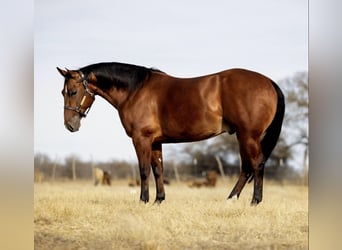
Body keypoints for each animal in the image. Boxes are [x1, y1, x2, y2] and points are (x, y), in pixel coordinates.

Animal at [57, 62, 284, 205]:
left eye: (73, 92)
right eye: (63, 92)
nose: (70, 125)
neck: (135, 91)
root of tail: (269, 82)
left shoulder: (141, 139)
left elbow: (144, 170)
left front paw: (143, 200)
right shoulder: (156, 142)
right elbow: (158, 169)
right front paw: (159, 200)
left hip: (248, 136)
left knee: (256, 164)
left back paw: (254, 201)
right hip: (244, 136)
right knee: (247, 167)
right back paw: (231, 199)